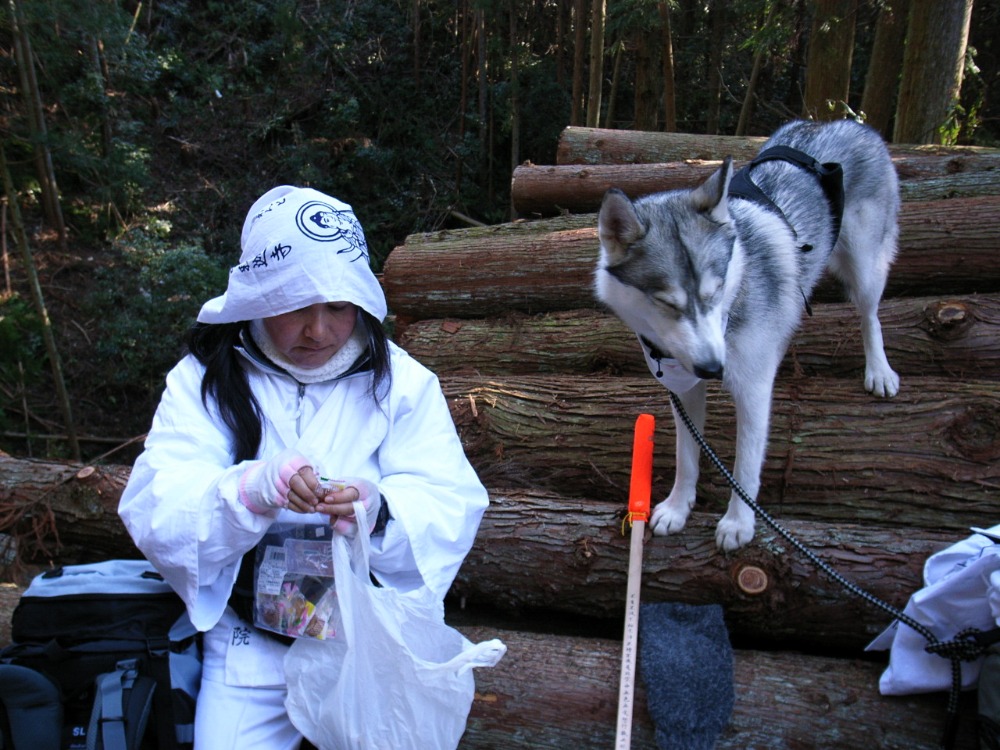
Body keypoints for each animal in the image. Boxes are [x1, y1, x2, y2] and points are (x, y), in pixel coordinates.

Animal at [592, 119, 900, 552]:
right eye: (667, 303)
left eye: (716, 291)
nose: (712, 368)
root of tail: (840, 121)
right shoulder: (684, 389)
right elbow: (687, 455)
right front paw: (677, 507)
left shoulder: (753, 390)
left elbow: (745, 465)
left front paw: (739, 522)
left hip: (866, 265)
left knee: (870, 314)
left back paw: (879, 370)